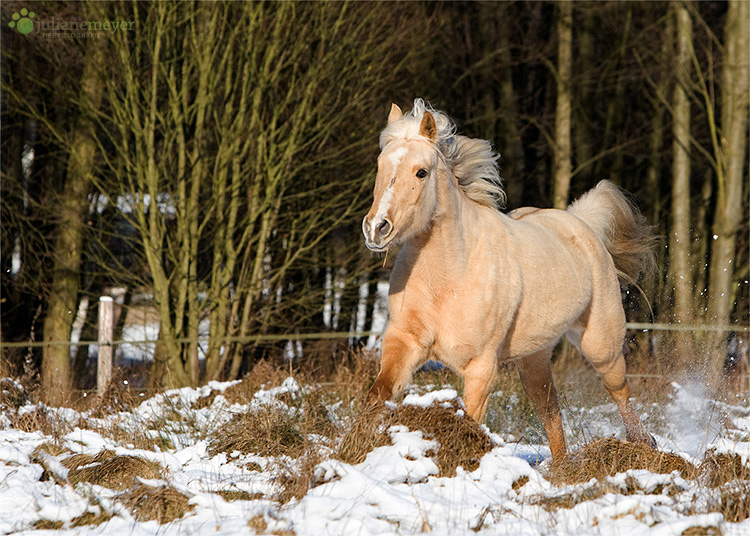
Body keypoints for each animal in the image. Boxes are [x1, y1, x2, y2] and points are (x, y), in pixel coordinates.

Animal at [362, 98, 656, 462]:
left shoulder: (480, 366)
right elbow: (378, 394)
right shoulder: (404, 342)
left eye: (421, 172)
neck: (448, 276)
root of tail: (581, 225)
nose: (377, 228)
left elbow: (469, 419)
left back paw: (642, 445)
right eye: (380, 165)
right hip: (534, 358)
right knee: (549, 410)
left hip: (602, 346)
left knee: (620, 393)